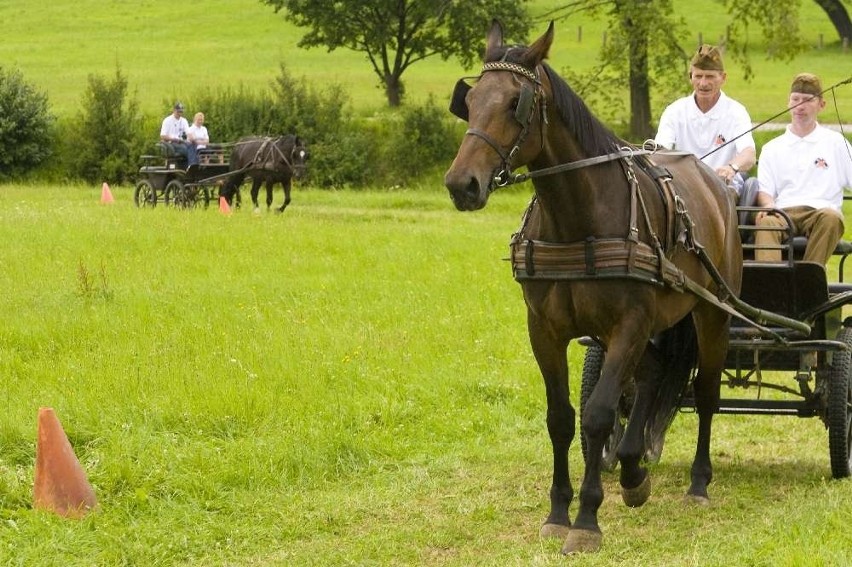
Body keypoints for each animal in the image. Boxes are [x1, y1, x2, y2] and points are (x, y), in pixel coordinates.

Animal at [442, 21, 744, 556]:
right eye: (470, 99)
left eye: (517, 102)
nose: (462, 184)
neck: (575, 220)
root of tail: (716, 187)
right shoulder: (545, 330)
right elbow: (562, 417)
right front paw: (559, 512)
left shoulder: (628, 324)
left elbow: (599, 413)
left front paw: (586, 519)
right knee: (652, 376)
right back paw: (633, 471)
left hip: (712, 313)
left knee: (706, 392)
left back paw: (698, 483)